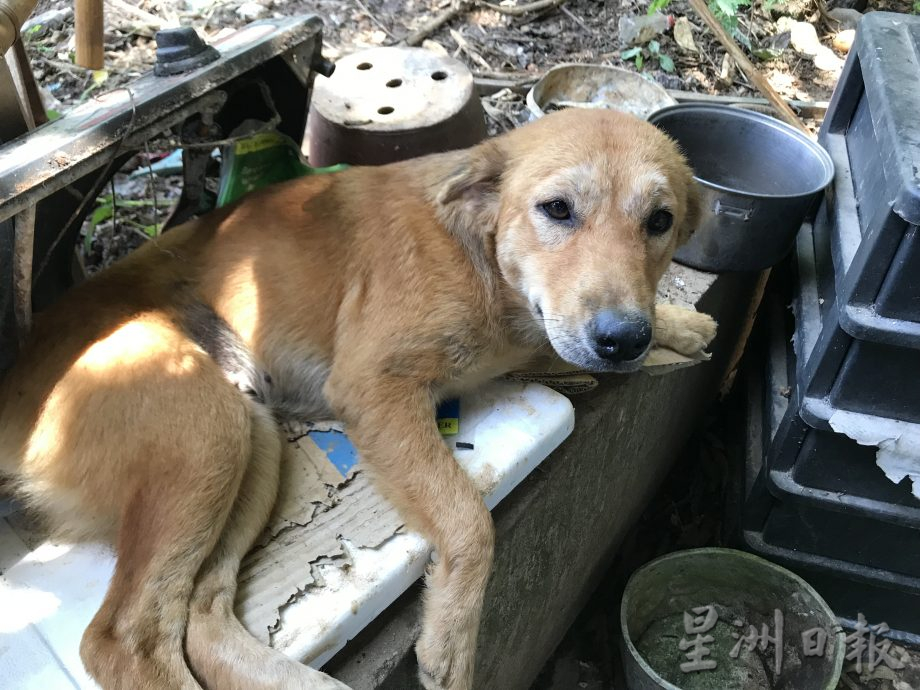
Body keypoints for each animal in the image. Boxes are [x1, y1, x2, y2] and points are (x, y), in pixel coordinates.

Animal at [0, 109, 716, 688]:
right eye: (558, 209)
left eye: (660, 222)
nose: (623, 340)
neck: (480, 257)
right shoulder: (375, 389)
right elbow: (470, 522)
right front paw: (451, 644)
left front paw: (679, 327)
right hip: (203, 429)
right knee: (123, 639)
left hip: (250, 437)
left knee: (200, 614)